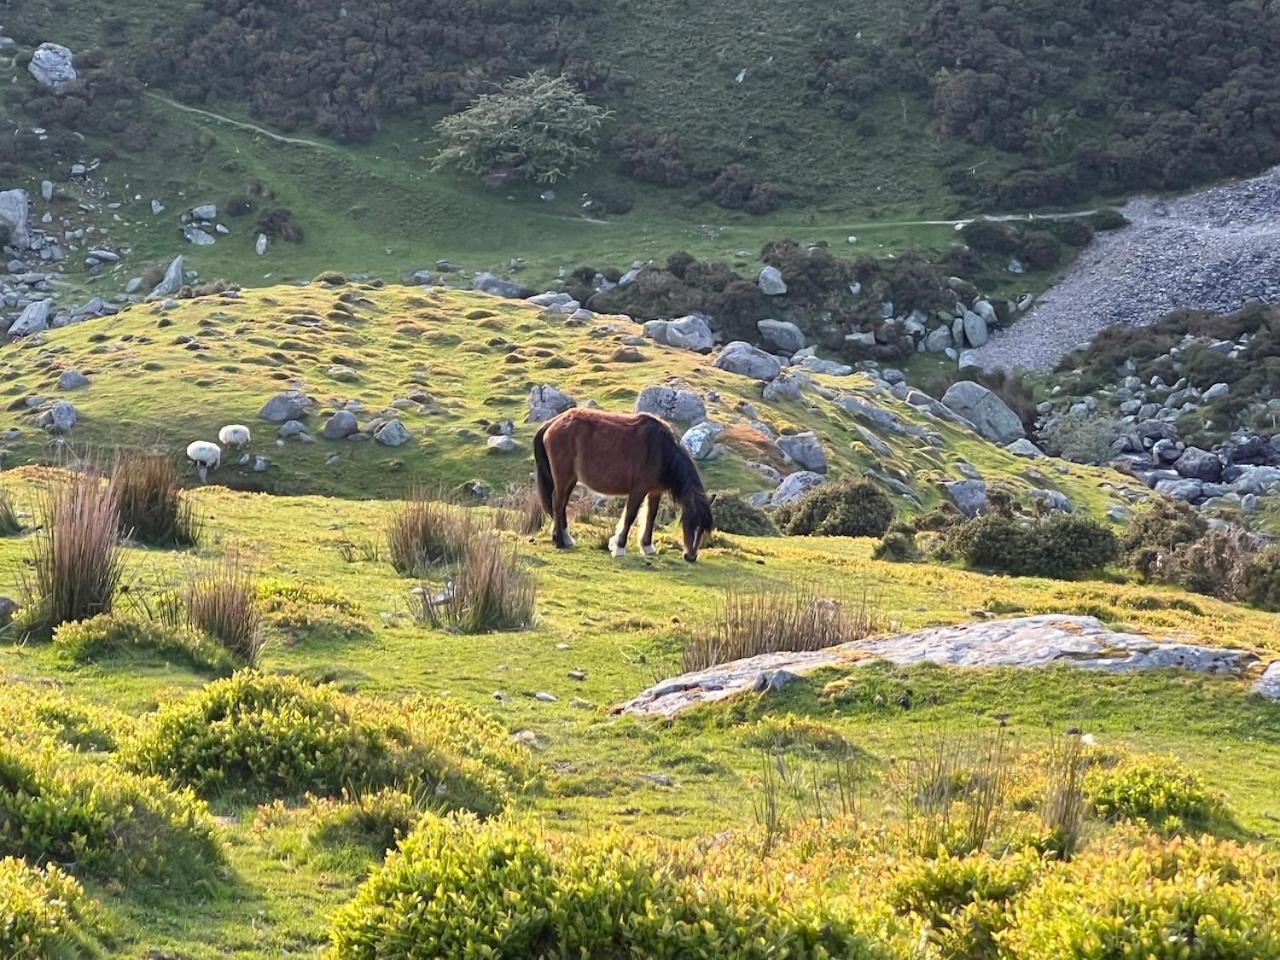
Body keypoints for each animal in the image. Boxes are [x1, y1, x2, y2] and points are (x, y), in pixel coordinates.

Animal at [532, 407, 721, 563]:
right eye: (687, 523)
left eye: (703, 528)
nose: (691, 557)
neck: (660, 451)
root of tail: (553, 422)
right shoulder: (638, 490)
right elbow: (630, 516)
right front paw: (619, 547)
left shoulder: (655, 491)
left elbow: (651, 516)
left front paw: (647, 546)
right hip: (564, 477)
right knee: (558, 504)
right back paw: (560, 541)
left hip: (570, 479)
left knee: (561, 505)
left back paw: (566, 539)